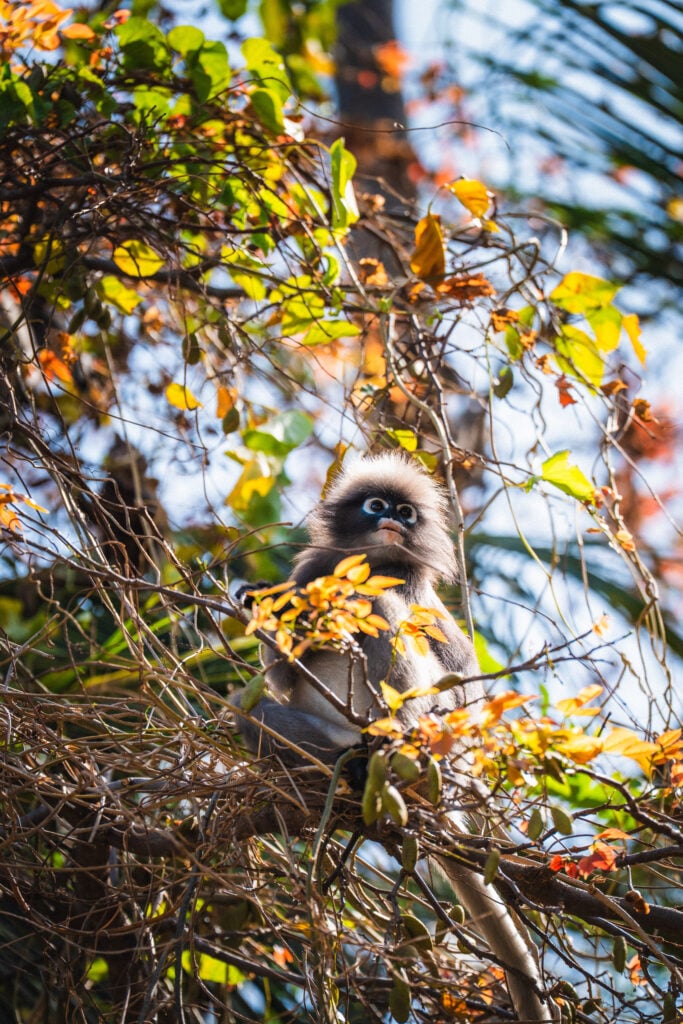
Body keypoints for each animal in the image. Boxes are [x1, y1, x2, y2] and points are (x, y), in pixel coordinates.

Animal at [236, 452, 557, 1022]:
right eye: (375, 505)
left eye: (406, 512)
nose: (392, 519)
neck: (375, 566)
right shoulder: (312, 572)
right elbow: (280, 679)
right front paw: (267, 611)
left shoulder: (421, 598)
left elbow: (463, 684)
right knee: (246, 712)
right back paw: (347, 768)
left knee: (385, 615)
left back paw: (391, 757)